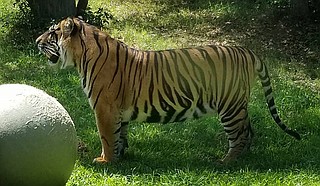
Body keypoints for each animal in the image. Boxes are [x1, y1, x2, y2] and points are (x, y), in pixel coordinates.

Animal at [35, 16, 300, 163]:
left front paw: (104, 161)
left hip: (230, 107)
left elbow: (107, 136)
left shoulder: (104, 109)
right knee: (249, 130)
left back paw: (226, 162)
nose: (36, 42)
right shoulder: (117, 111)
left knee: (240, 134)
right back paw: (242, 159)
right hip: (238, 105)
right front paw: (121, 158)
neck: (81, 57)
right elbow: (120, 134)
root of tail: (247, 51)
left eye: (52, 32)